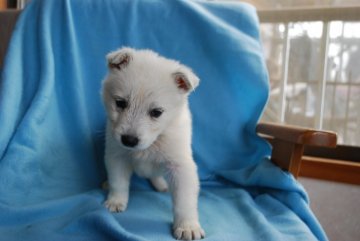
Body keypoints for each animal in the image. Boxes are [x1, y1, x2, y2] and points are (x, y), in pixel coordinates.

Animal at [100, 48, 205, 240]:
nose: (129, 140)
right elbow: (118, 182)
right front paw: (116, 201)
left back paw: (162, 185)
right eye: (120, 103)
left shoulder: (180, 166)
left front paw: (187, 226)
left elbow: (184, 200)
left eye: (156, 112)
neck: (154, 141)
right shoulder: (116, 155)